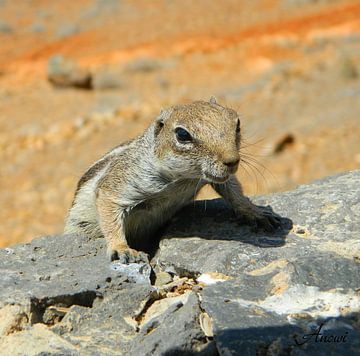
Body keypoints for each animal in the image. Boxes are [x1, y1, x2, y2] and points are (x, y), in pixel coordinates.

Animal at [64, 97, 282, 262]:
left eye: (237, 123)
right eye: (182, 134)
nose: (232, 160)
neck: (183, 179)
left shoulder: (219, 177)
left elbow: (233, 192)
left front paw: (256, 212)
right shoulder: (120, 184)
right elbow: (109, 210)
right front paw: (121, 248)